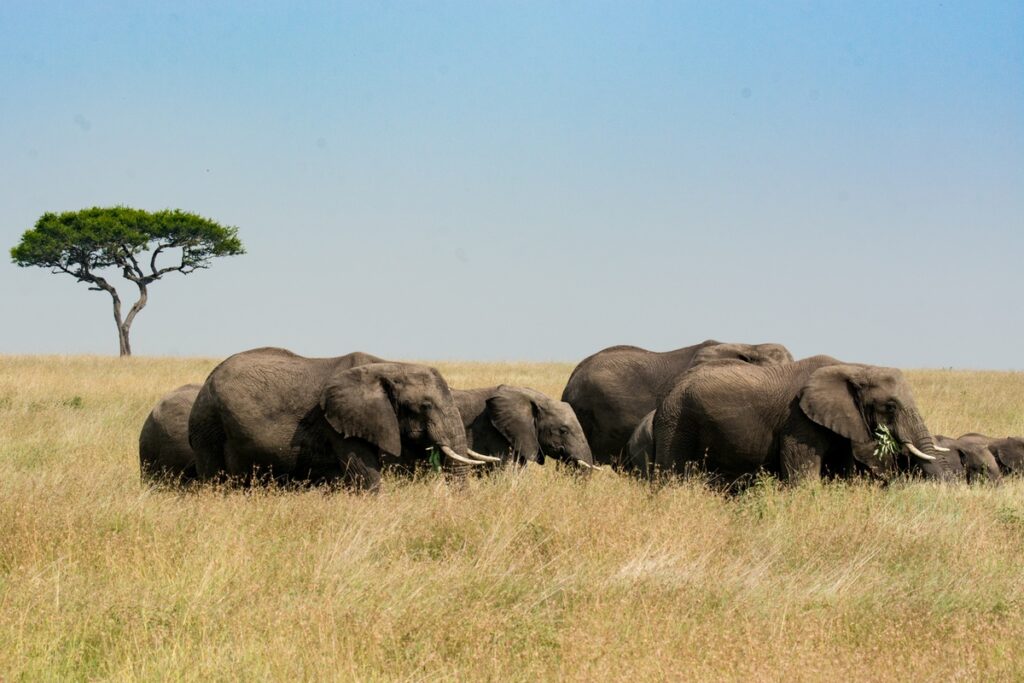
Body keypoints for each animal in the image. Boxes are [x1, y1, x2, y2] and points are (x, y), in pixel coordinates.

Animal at [652, 355, 946, 487]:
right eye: (890, 406)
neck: (853, 367)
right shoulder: (799, 422)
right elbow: (802, 478)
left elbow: (841, 472)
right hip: (676, 419)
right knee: (671, 473)